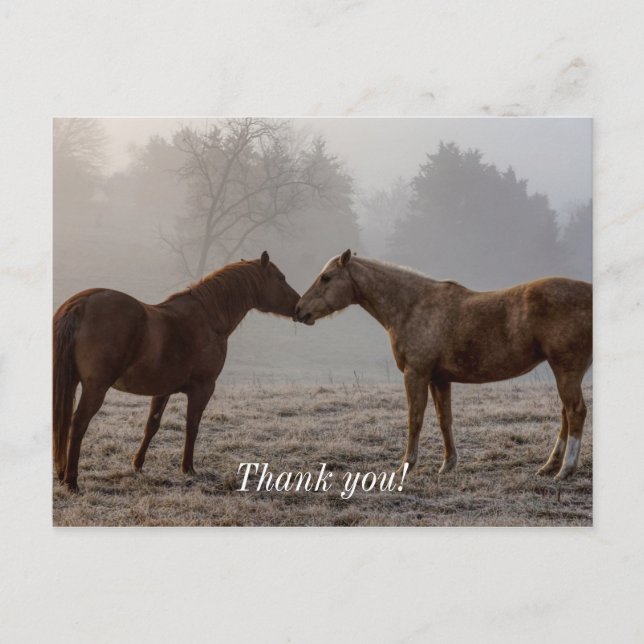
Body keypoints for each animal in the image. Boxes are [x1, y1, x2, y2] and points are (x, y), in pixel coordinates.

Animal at [53, 251, 300, 492]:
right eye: (281, 278)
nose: (299, 307)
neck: (208, 318)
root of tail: (82, 304)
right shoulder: (203, 389)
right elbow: (192, 427)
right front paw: (188, 468)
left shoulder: (162, 389)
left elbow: (152, 425)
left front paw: (137, 464)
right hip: (96, 388)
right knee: (78, 424)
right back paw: (71, 481)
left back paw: (62, 474)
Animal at [295, 250, 592, 481]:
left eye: (326, 277)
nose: (298, 310)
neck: (412, 306)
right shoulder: (439, 379)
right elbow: (444, 419)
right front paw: (448, 464)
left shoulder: (416, 374)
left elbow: (414, 419)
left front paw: (406, 465)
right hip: (566, 372)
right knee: (565, 414)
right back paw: (549, 465)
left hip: (566, 369)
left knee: (575, 412)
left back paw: (565, 470)